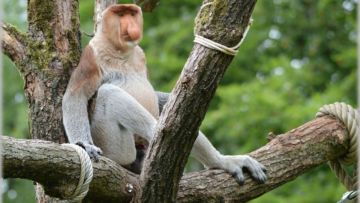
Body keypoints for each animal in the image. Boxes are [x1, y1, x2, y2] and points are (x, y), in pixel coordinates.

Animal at [62, 3, 266, 184]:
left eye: (131, 13)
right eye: (120, 14)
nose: (130, 24)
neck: (121, 50)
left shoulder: (140, 54)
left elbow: (157, 95)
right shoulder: (91, 55)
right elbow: (75, 96)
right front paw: (85, 145)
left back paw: (221, 160)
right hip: (112, 147)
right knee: (109, 93)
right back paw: (166, 134)